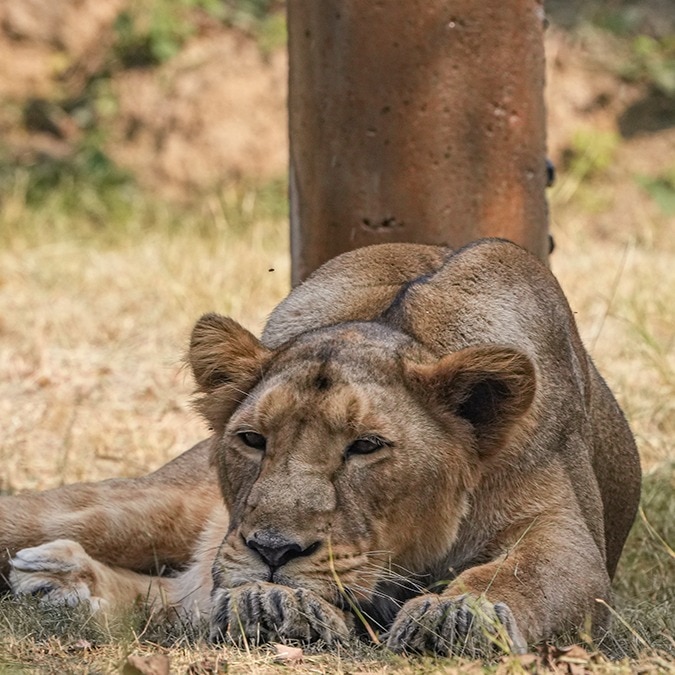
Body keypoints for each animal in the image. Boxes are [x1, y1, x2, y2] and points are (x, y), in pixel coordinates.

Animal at [0, 239, 641, 656]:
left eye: (366, 446)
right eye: (253, 440)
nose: (273, 551)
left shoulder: (561, 531)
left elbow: (523, 573)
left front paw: (457, 615)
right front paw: (275, 603)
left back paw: (61, 582)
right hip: (138, 507)